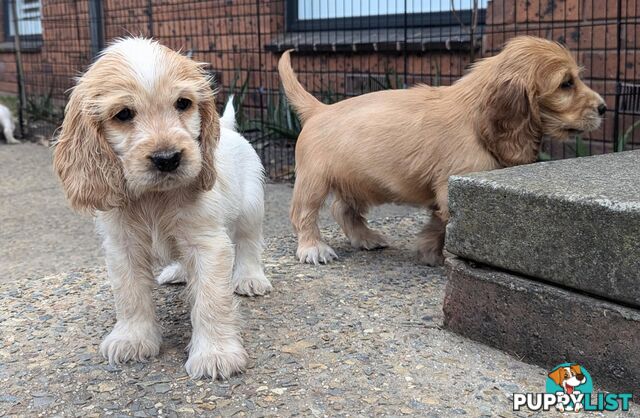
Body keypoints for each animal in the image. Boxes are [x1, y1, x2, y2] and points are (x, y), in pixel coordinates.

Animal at [51, 38, 268, 378]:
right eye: (123, 114)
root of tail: (230, 129)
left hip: (251, 208)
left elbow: (211, 299)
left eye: (183, 103)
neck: (153, 198)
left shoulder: (208, 243)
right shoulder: (122, 245)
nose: (168, 159)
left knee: (248, 243)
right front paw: (132, 338)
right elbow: (129, 295)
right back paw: (177, 271)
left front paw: (215, 353)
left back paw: (250, 278)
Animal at [278, 36, 604, 264]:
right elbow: (447, 222)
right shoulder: (451, 187)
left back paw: (366, 237)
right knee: (303, 212)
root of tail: (320, 109)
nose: (603, 107)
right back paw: (313, 248)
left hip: (360, 181)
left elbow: (439, 223)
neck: (474, 113)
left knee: (342, 208)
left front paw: (428, 252)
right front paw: (436, 254)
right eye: (566, 84)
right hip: (313, 180)